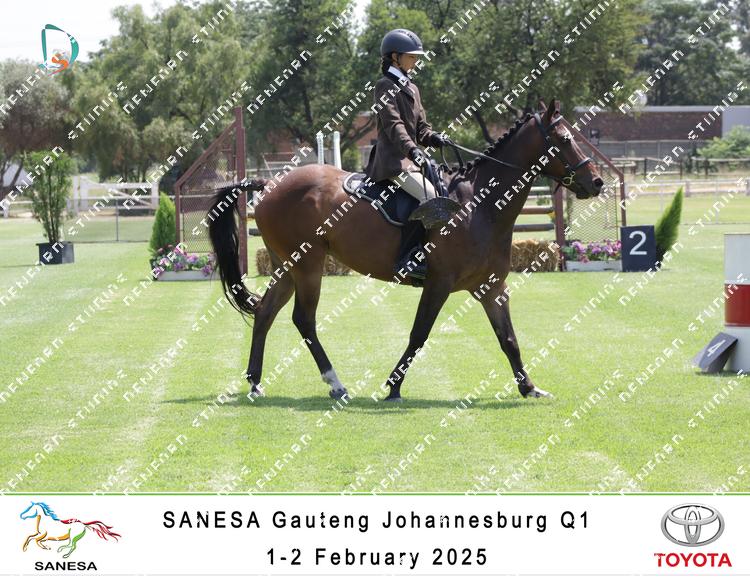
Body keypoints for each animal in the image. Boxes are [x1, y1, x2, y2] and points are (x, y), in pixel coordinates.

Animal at [208, 99, 603, 402]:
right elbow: (419, 334)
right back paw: (336, 384)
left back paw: (256, 383)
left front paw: (530, 388)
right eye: (565, 138)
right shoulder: (439, 282)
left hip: (288, 267)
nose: (596, 182)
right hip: (308, 265)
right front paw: (394, 387)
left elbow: (509, 339)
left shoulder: (491, 286)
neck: (481, 206)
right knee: (303, 320)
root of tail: (269, 183)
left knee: (265, 313)